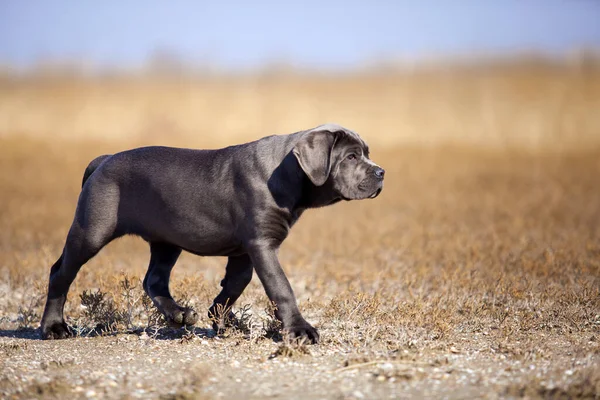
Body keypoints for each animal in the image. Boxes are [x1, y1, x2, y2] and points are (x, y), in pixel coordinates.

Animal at [39, 123, 384, 342]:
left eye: (366, 153)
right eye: (351, 157)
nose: (381, 172)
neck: (287, 172)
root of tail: (104, 159)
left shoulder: (246, 250)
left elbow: (236, 284)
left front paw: (222, 321)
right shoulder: (261, 243)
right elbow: (281, 287)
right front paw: (299, 330)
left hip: (166, 240)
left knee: (154, 279)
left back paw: (178, 314)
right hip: (91, 231)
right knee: (61, 272)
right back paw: (54, 327)